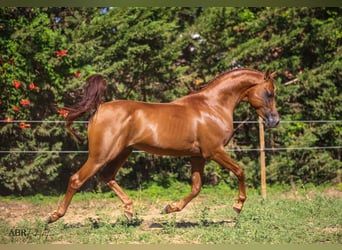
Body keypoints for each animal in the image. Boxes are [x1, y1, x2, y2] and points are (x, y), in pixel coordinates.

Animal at [46, 68, 280, 223]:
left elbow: (196, 188)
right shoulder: (214, 151)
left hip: (123, 152)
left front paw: (169, 208)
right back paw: (54, 216)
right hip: (101, 155)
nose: (275, 121)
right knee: (77, 179)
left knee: (107, 176)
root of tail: (100, 107)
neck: (212, 106)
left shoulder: (198, 156)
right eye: (270, 93)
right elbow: (240, 172)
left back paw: (129, 211)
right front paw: (237, 206)